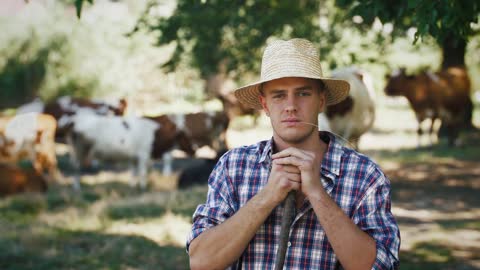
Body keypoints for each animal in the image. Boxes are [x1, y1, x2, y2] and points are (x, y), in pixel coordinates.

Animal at [65, 113, 195, 189]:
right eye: (185, 137)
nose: (194, 150)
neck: (155, 134)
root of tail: (75, 121)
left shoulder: (134, 157)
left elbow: (133, 171)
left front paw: (133, 186)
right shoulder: (143, 155)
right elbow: (142, 172)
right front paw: (143, 187)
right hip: (79, 150)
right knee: (76, 168)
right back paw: (77, 187)